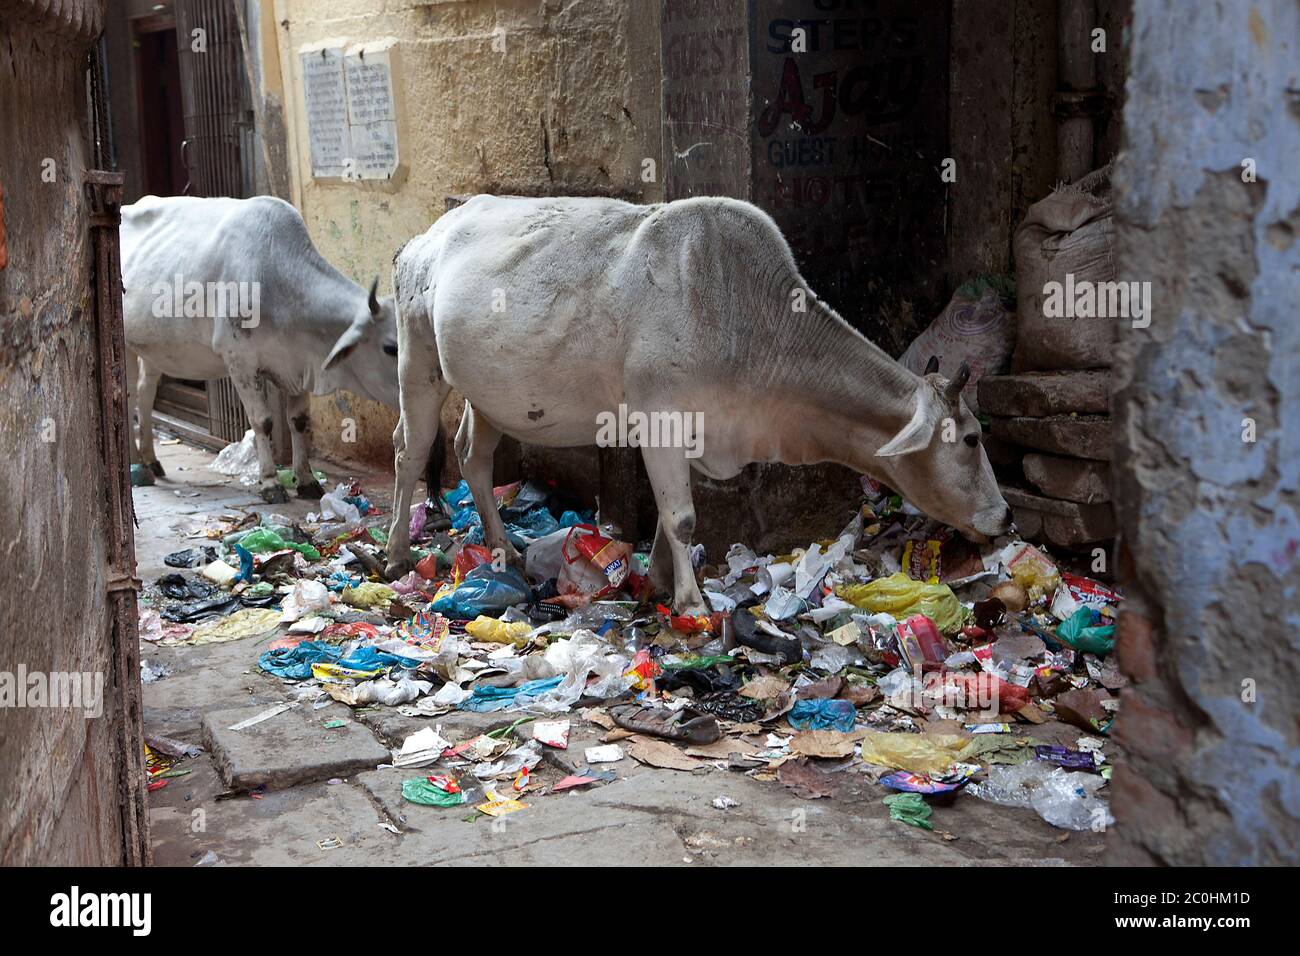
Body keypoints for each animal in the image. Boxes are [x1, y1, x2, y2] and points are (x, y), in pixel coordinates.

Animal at [124, 197, 405, 504]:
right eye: (391, 348)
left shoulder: (297, 365)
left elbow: (298, 421)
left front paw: (305, 479)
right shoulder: (240, 361)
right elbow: (263, 421)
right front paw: (270, 482)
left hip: (152, 349)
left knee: (145, 393)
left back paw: (151, 459)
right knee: (127, 399)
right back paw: (136, 464)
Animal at [379, 195, 1008, 613]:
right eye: (971, 439)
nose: (1004, 517)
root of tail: (424, 236)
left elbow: (667, 517)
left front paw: (658, 580)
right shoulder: (659, 419)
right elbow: (681, 517)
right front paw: (692, 603)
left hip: (487, 395)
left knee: (473, 458)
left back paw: (502, 548)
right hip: (418, 362)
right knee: (409, 452)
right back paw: (396, 554)